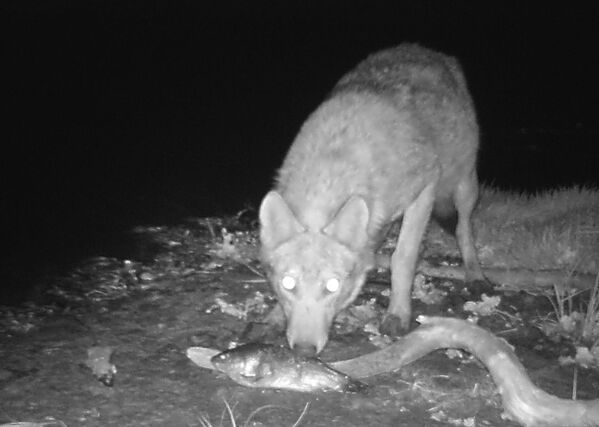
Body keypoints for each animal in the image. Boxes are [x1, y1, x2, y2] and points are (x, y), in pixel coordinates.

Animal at [260, 44, 486, 358]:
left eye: (332, 286)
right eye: (288, 283)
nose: (304, 351)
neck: (336, 163)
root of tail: (430, 52)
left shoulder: (425, 189)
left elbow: (403, 258)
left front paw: (398, 314)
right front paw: (275, 315)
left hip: (463, 187)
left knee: (464, 228)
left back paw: (474, 273)